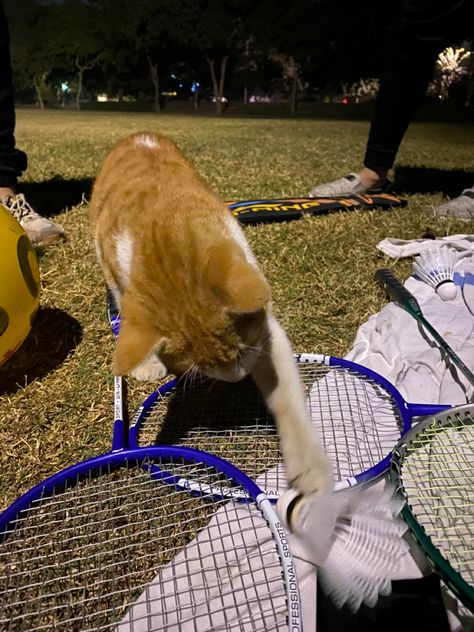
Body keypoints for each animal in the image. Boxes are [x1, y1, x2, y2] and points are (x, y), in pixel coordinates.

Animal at [90, 132, 334, 498]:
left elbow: (287, 401)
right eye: (205, 367)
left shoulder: (266, 330)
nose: (237, 378)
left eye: (242, 353)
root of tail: (137, 137)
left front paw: (310, 469)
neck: (163, 230)